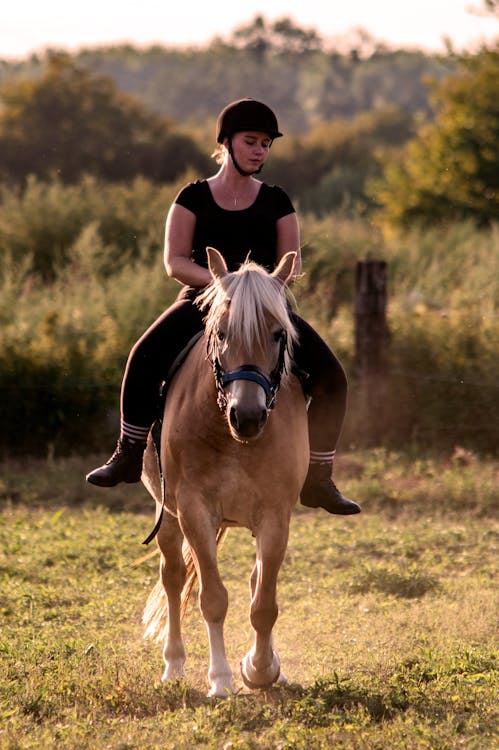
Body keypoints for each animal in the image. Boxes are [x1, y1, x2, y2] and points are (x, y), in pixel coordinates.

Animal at [141, 248, 310, 700]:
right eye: (221, 332)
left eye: (278, 334)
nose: (247, 416)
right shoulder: (195, 511)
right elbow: (212, 598)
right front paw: (220, 680)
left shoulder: (275, 515)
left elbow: (264, 601)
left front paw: (262, 669)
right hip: (168, 513)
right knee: (173, 576)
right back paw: (174, 666)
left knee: (252, 581)